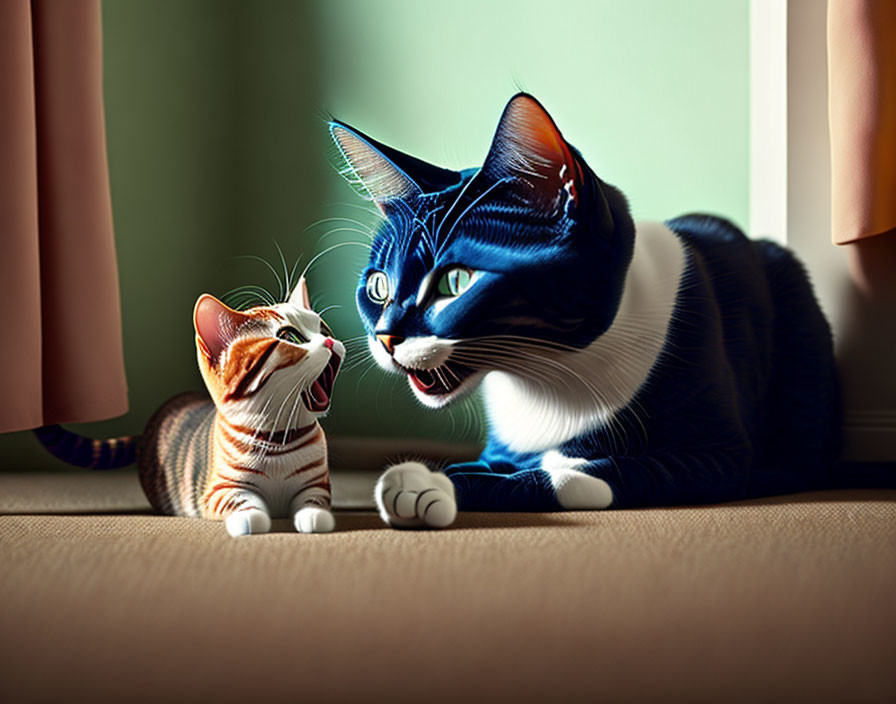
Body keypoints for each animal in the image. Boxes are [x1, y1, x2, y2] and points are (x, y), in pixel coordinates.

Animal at [328, 93, 840, 524]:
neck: (547, 376)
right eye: (378, 287)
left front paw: (431, 483)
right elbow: (494, 463)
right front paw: (445, 472)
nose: (386, 336)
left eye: (456, 281)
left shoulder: (718, 453)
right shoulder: (503, 449)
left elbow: (597, 472)